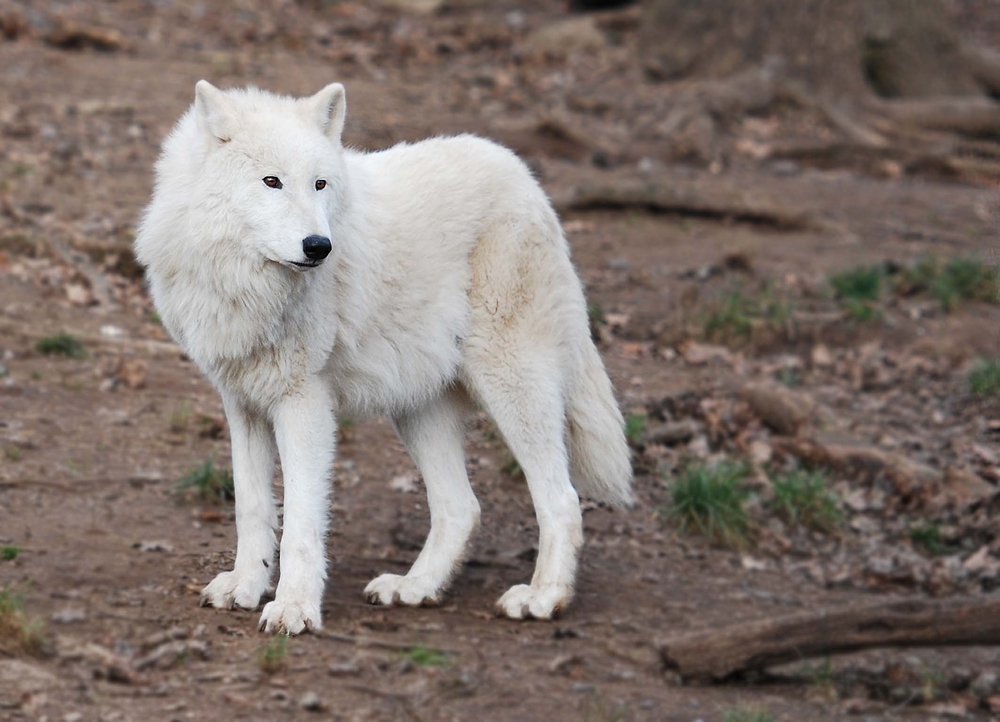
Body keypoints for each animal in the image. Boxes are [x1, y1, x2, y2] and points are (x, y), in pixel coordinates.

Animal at [135, 81, 632, 632]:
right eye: (271, 181)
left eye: (320, 184)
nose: (319, 246)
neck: (247, 283)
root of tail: (527, 180)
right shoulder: (242, 403)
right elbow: (252, 506)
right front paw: (245, 586)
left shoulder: (304, 403)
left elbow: (302, 520)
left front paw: (293, 608)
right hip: (418, 409)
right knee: (463, 507)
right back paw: (415, 588)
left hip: (513, 386)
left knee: (561, 498)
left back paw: (543, 597)